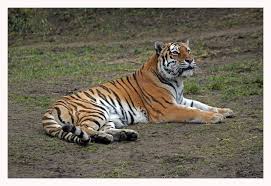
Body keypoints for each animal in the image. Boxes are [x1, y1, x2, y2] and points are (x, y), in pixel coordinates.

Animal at [42, 40, 234, 145]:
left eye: (188, 50)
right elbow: (194, 112)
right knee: (85, 129)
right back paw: (108, 137)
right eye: (175, 53)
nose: (190, 60)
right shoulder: (167, 108)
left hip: (109, 118)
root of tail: (51, 107)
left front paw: (225, 111)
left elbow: (202, 105)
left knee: (99, 129)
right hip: (95, 110)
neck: (178, 81)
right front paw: (215, 117)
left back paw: (124, 134)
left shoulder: (180, 99)